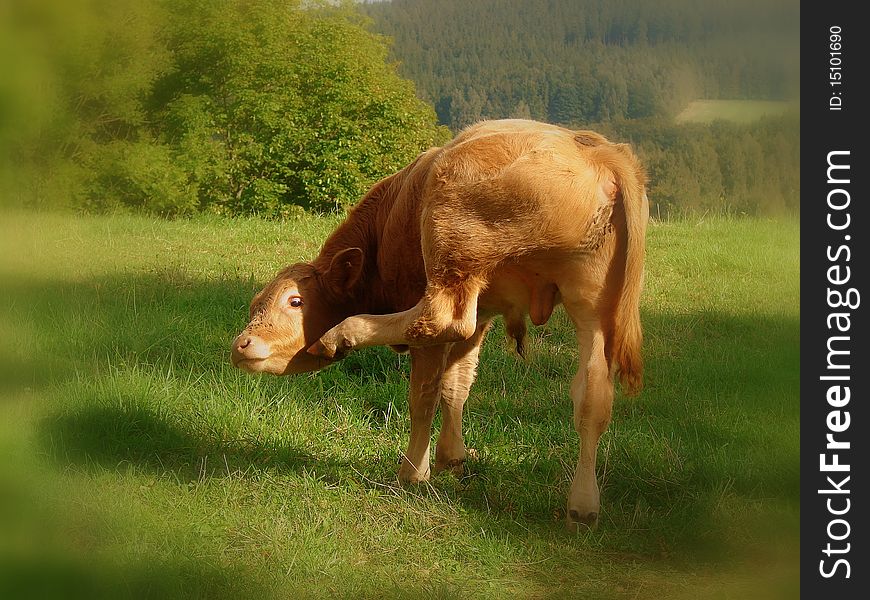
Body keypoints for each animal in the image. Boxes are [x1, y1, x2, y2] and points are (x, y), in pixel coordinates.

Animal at [232, 118, 648, 528]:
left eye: (295, 301)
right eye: (254, 304)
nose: (241, 345)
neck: (386, 223)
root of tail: (594, 148)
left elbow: (425, 393)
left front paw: (416, 471)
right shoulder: (483, 313)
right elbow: (457, 382)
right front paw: (453, 455)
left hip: (449, 242)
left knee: (437, 319)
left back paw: (343, 334)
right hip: (592, 303)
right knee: (593, 393)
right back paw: (583, 503)